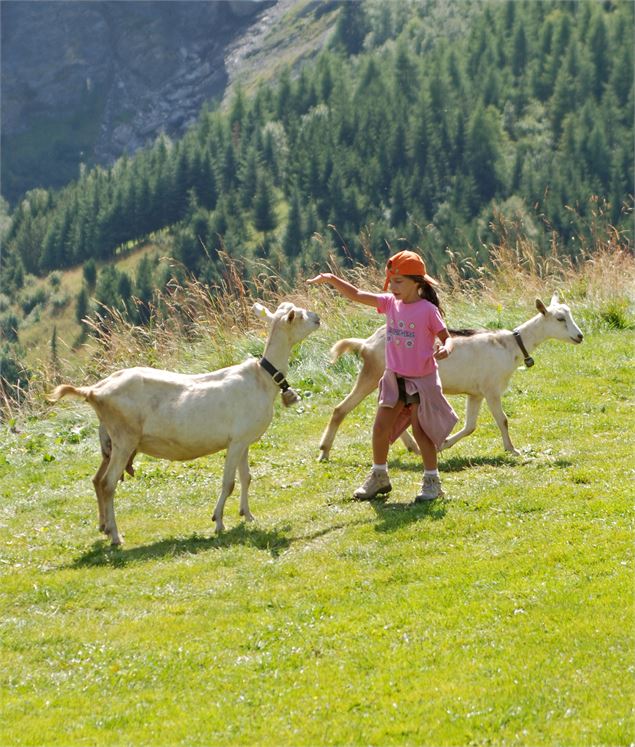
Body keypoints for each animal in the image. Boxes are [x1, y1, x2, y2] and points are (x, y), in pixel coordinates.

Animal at [48, 302, 322, 544]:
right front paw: (218, 521)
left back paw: (104, 528)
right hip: (124, 438)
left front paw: (248, 515)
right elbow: (229, 482)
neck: (262, 378)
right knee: (107, 484)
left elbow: (246, 478)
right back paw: (116, 537)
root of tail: (94, 391)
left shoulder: (243, 440)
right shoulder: (235, 442)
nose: (317, 317)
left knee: (97, 480)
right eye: (296, 315)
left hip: (111, 442)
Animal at [320, 294, 584, 462]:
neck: (510, 345)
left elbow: (470, 426)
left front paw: (444, 443)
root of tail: (366, 344)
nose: (580, 336)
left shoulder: (476, 393)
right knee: (340, 409)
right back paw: (324, 452)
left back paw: (413, 447)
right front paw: (512, 450)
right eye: (560, 319)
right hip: (371, 374)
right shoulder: (491, 389)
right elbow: (503, 420)